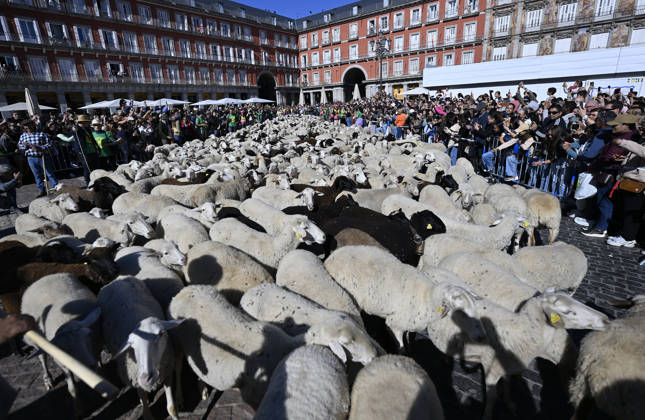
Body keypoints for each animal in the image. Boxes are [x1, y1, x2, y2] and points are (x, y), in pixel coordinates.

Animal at [21, 274, 101, 411]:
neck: (67, 319)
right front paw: (78, 409)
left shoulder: (96, 348)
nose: (90, 366)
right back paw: (48, 378)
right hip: (36, 338)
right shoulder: (63, 363)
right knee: (42, 357)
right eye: (65, 349)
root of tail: (43, 278)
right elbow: (72, 388)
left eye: (88, 335)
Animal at [97, 277, 182, 420]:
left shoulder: (167, 372)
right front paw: (144, 405)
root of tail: (117, 278)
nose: (145, 378)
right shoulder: (135, 380)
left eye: (161, 333)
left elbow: (172, 408)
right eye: (131, 344)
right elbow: (146, 414)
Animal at [324, 246, 484, 347]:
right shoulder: (395, 324)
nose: (480, 337)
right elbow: (401, 346)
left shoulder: (409, 324)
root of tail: (331, 257)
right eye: (461, 313)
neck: (428, 297)